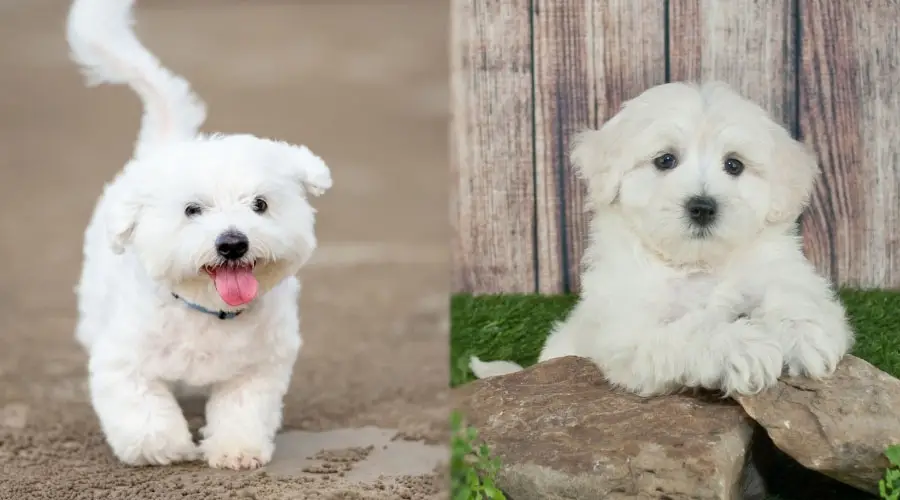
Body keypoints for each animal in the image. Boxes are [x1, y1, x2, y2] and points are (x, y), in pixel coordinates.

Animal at [67, 0, 334, 468]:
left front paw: (236, 449)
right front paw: (163, 447)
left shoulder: (257, 369)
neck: (209, 312)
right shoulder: (123, 361)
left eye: (260, 204)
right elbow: (143, 410)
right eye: (192, 210)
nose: (232, 243)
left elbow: (243, 408)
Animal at [474, 82, 856, 398]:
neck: (695, 264)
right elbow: (690, 332)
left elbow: (793, 292)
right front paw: (744, 348)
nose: (702, 207)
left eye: (734, 165)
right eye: (665, 160)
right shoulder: (630, 329)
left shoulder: (773, 264)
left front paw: (807, 334)